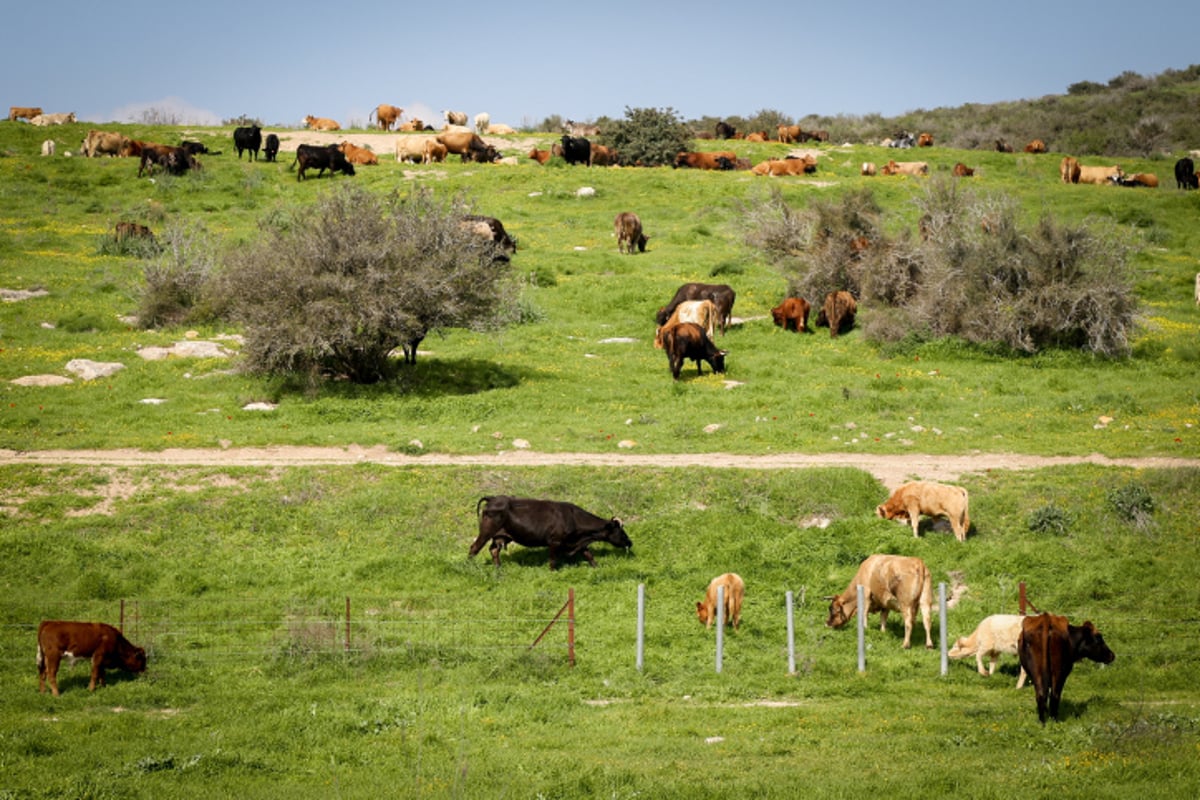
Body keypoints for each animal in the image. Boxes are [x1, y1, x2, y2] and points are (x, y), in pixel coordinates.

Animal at [470, 494, 633, 568]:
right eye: (621, 532)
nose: (630, 542)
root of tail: (493, 498)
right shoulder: (555, 541)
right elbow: (553, 560)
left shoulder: (578, 542)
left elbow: (589, 555)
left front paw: (597, 567)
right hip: (486, 532)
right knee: (474, 547)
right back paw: (469, 566)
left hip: (501, 536)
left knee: (494, 550)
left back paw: (498, 567)